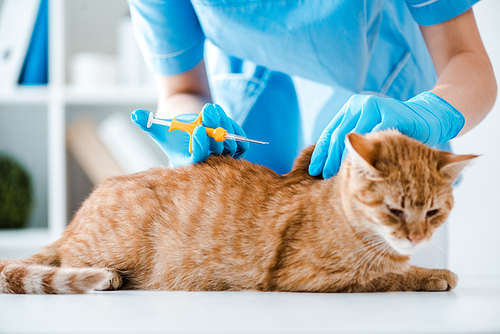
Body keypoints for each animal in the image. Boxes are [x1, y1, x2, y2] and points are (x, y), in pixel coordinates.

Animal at [0, 129, 476, 294]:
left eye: (433, 212)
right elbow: (387, 275)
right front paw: (432, 273)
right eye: (395, 210)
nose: (416, 237)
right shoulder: (308, 277)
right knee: (67, 260)